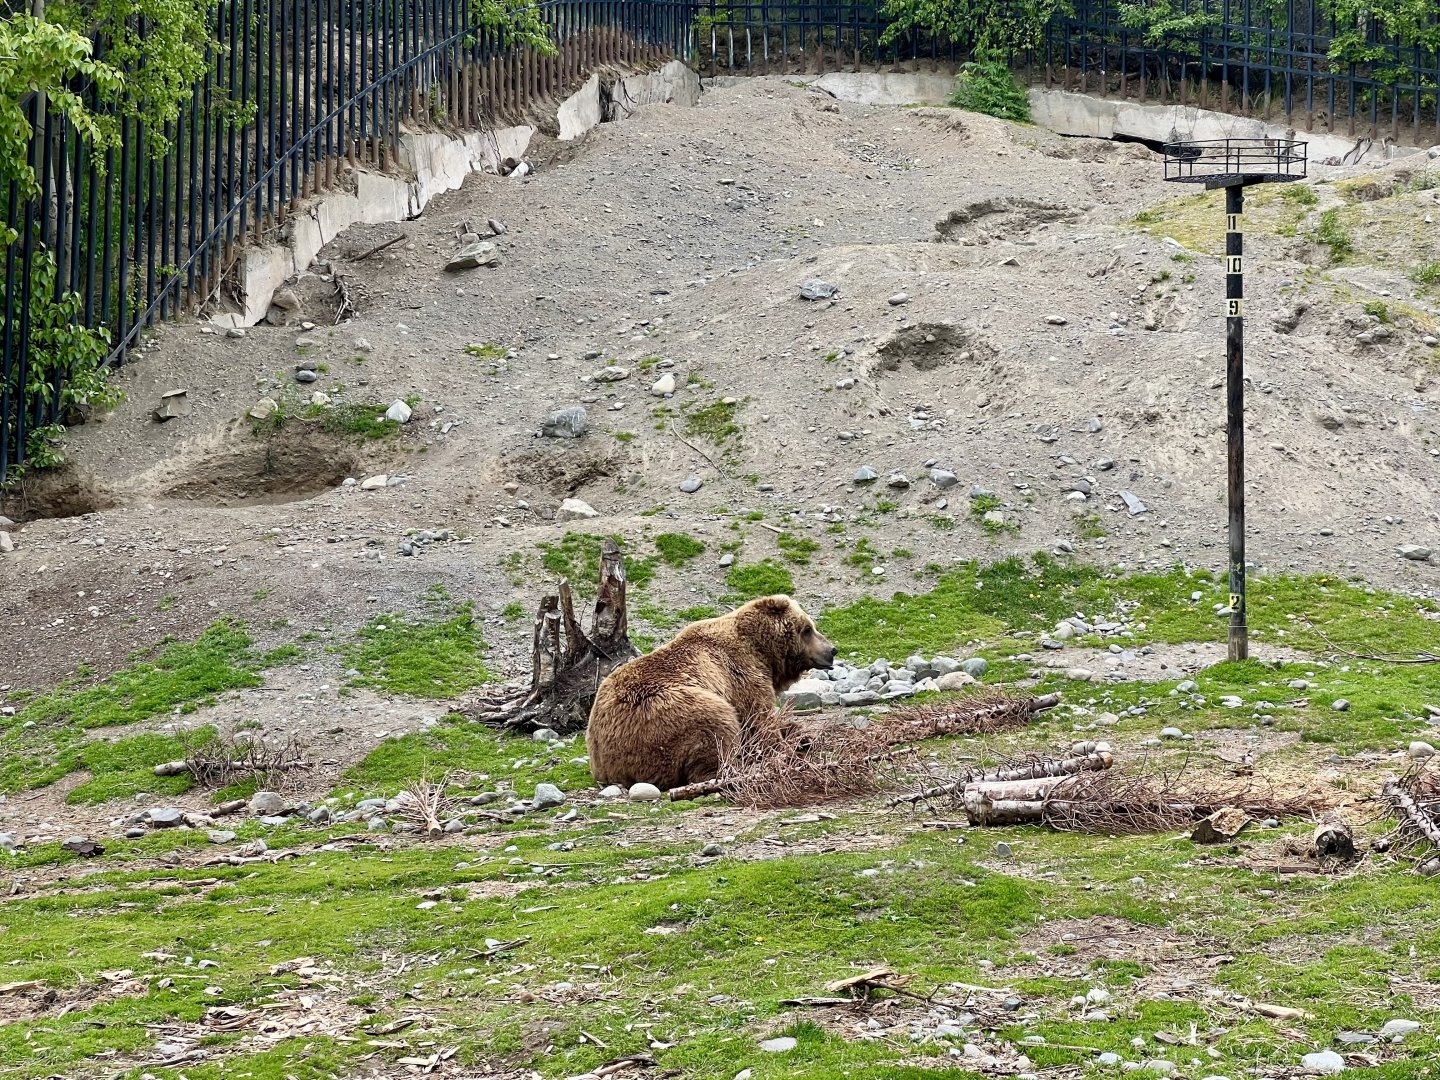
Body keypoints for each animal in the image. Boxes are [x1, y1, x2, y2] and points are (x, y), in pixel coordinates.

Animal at [585, 594, 837, 791]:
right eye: (807, 629)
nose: (832, 650)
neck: (762, 652)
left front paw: (802, 736)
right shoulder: (741, 674)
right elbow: (758, 720)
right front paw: (786, 749)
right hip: (667, 712)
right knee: (715, 725)